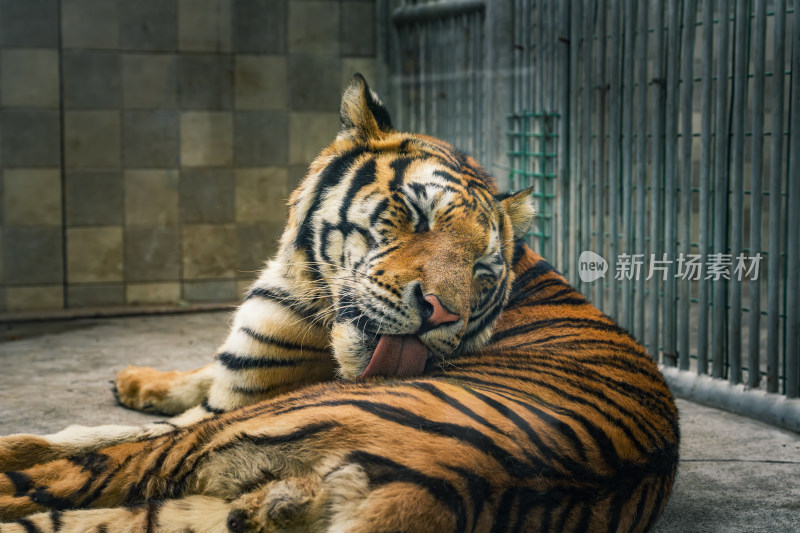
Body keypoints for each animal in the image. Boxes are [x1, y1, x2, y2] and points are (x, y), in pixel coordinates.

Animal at [0, 75, 680, 532]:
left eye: (483, 270)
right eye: (415, 213)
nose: (443, 313)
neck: (299, 272)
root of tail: (449, 485)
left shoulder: (240, 401)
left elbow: (98, 432)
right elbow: (187, 378)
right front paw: (133, 379)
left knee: (59, 478)